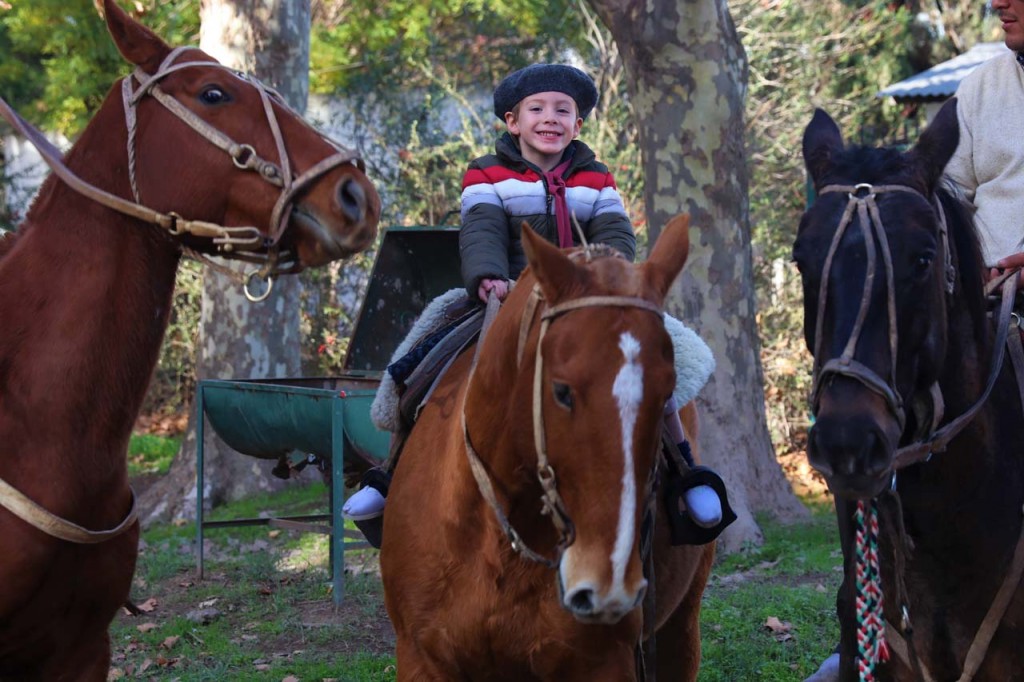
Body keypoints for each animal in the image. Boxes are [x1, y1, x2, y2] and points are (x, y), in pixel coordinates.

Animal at [380, 214, 714, 681]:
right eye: (561, 391)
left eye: (666, 393)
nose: (607, 583)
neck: (500, 540)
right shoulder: (420, 657)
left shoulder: (605, 663)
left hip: (679, 632)